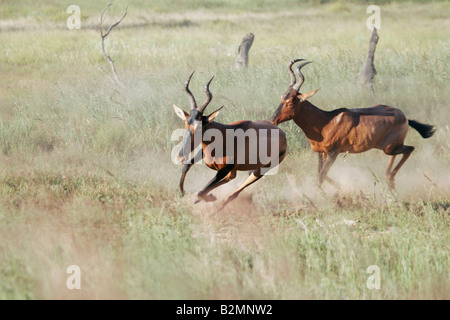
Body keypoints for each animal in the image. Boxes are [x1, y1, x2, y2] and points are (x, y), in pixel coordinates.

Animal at [174, 71, 286, 209]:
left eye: (200, 126)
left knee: (234, 193)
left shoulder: (225, 169)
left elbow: (201, 191)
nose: (180, 156)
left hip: (261, 170)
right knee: (231, 178)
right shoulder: (204, 153)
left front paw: (206, 198)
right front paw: (182, 192)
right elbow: (187, 166)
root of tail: (283, 134)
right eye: (186, 123)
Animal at [270, 58, 436, 189]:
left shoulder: (333, 153)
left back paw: (390, 179)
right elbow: (320, 174)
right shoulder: (321, 153)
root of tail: (405, 117)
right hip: (391, 147)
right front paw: (342, 189)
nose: (273, 120)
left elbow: (321, 176)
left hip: (390, 147)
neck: (326, 120)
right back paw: (389, 180)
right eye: (282, 97)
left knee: (410, 149)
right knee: (402, 152)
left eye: (291, 101)